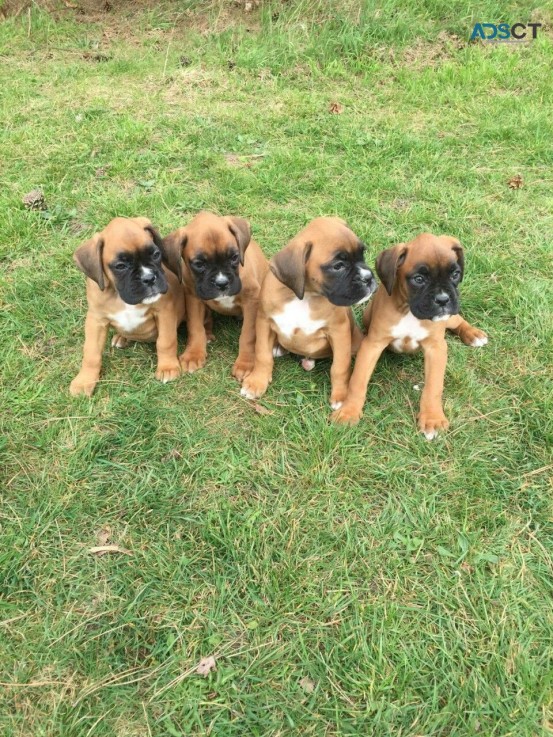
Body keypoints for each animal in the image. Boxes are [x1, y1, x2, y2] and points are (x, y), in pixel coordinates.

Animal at [69, 216, 184, 394]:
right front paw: (84, 381)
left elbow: (166, 341)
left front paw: (167, 367)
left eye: (156, 254)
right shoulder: (96, 320)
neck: (119, 296)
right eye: (120, 266)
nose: (149, 278)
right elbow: (91, 353)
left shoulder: (164, 312)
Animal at [162, 208, 268, 376]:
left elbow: (248, 333)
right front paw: (194, 354)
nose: (222, 283)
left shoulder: (251, 300)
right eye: (199, 264)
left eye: (234, 257)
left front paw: (246, 363)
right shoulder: (193, 298)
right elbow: (195, 326)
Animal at [238, 217, 376, 408]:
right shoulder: (264, 322)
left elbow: (340, 367)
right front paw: (256, 382)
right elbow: (262, 354)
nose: (368, 277)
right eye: (338, 266)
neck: (304, 297)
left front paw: (341, 396)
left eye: (362, 254)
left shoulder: (339, 331)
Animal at [330, 231, 486, 436]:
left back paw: (474, 334)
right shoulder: (372, 345)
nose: (443, 299)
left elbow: (433, 386)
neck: (408, 310)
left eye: (455, 274)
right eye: (419, 279)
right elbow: (358, 380)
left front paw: (432, 418)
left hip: (448, 317)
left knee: (457, 319)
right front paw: (349, 411)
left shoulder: (436, 348)